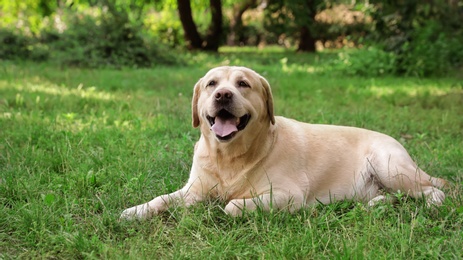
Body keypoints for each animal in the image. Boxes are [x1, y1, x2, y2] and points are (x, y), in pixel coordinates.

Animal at [121, 65, 448, 219]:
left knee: (433, 190)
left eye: (243, 84)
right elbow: (162, 199)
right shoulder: (193, 191)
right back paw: (375, 204)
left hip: (390, 166)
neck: (230, 157)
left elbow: (231, 206)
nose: (223, 95)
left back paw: (432, 205)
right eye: (212, 84)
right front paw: (136, 211)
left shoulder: (287, 195)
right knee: (394, 196)